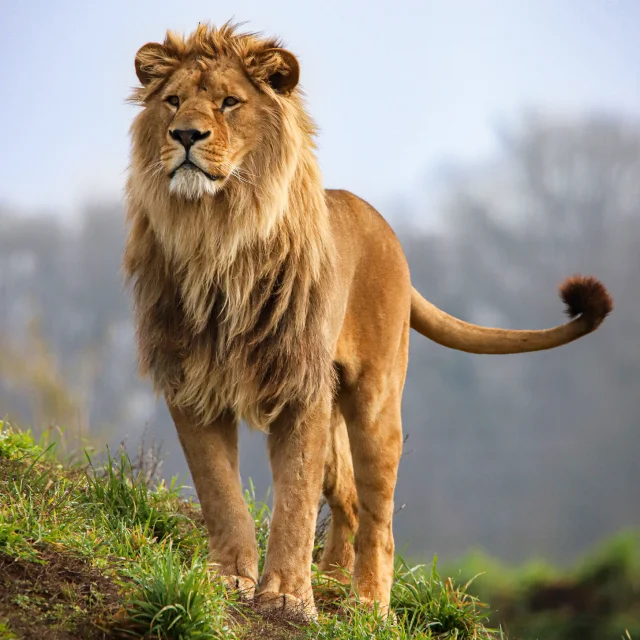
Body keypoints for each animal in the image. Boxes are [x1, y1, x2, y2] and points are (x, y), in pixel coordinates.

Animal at [123, 22, 613, 620]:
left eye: (229, 103)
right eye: (172, 101)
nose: (185, 135)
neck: (218, 238)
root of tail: (388, 230)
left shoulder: (298, 388)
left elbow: (295, 498)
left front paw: (287, 597)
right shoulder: (190, 380)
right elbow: (220, 491)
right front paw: (230, 579)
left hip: (377, 401)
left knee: (379, 516)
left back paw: (367, 604)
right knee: (351, 499)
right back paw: (333, 582)